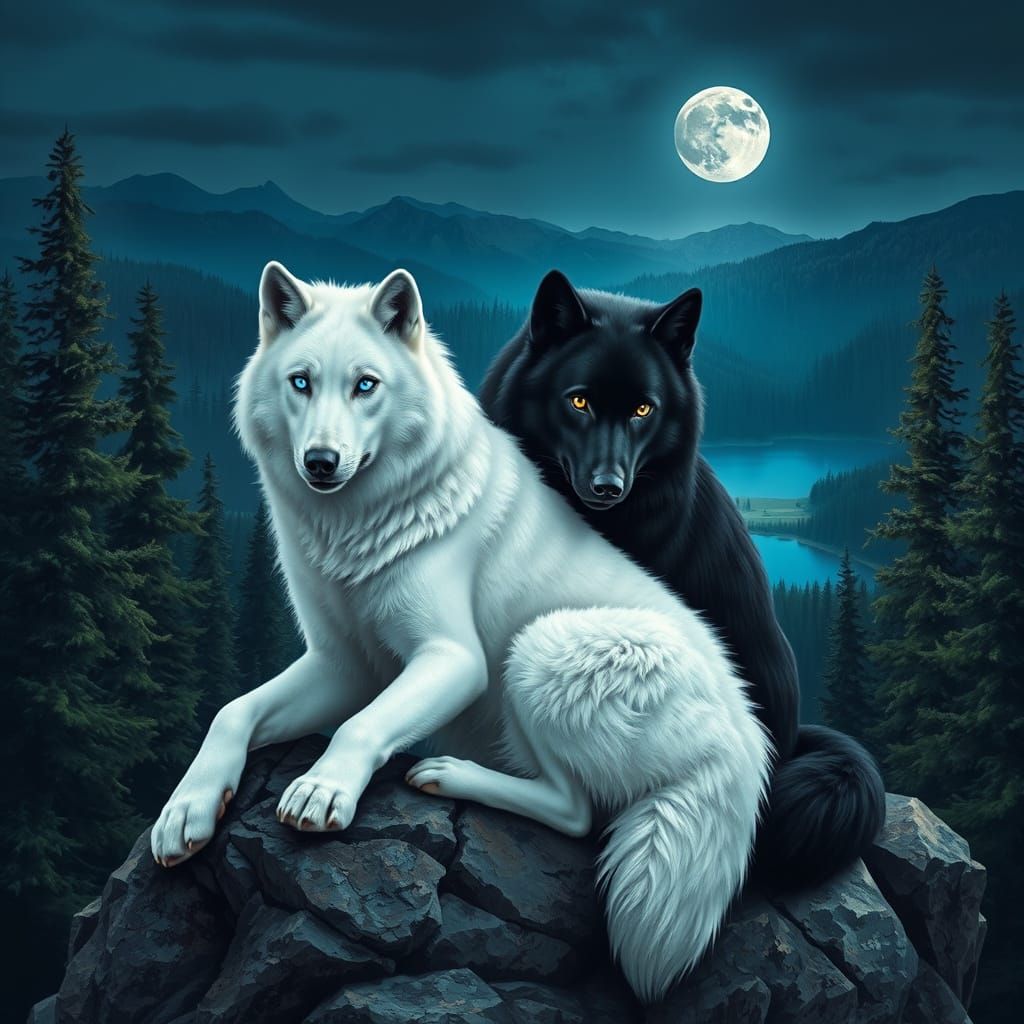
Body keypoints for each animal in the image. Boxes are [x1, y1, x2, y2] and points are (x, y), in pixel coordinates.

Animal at [150, 261, 772, 1003]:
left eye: (365, 384)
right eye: (301, 381)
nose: (321, 462)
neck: (360, 525)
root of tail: (746, 739)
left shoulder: (453, 659)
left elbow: (360, 725)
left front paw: (321, 789)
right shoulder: (342, 664)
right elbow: (231, 711)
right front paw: (185, 810)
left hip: (539, 651)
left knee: (577, 813)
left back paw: (448, 775)